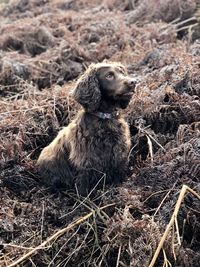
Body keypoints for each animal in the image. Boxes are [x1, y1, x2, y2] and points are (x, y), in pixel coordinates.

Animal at [36, 61, 136, 196]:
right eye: (109, 76)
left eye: (122, 73)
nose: (134, 82)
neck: (104, 119)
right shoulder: (86, 164)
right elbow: (83, 189)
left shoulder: (119, 159)